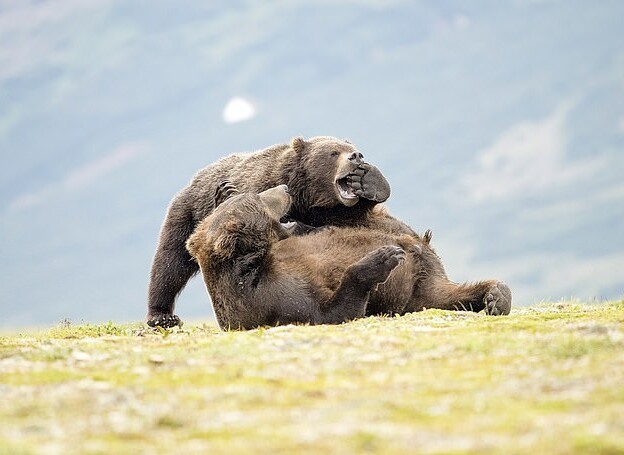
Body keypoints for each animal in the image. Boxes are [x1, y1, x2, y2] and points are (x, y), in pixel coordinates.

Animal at [147, 135, 400, 328]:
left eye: (352, 147)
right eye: (333, 152)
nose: (356, 156)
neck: (310, 197)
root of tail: (196, 176)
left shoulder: (336, 211)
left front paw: (369, 181)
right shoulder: (265, 186)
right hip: (186, 213)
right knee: (168, 264)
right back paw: (161, 316)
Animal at [185, 185, 512, 332]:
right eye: (260, 198)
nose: (284, 188)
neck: (257, 264)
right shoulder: (273, 299)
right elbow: (335, 311)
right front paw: (382, 258)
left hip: (421, 268)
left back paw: (496, 295)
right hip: (415, 286)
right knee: (437, 294)